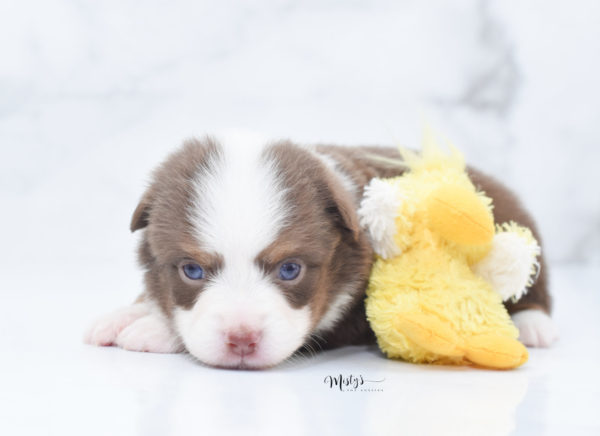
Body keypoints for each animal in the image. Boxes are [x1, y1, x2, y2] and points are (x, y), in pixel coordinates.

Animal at [84, 136, 556, 368]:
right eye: (192, 271)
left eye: (290, 270)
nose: (242, 340)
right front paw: (130, 313)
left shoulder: (352, 314)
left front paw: (153, 330)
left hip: (517, 229)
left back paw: (532, 324)